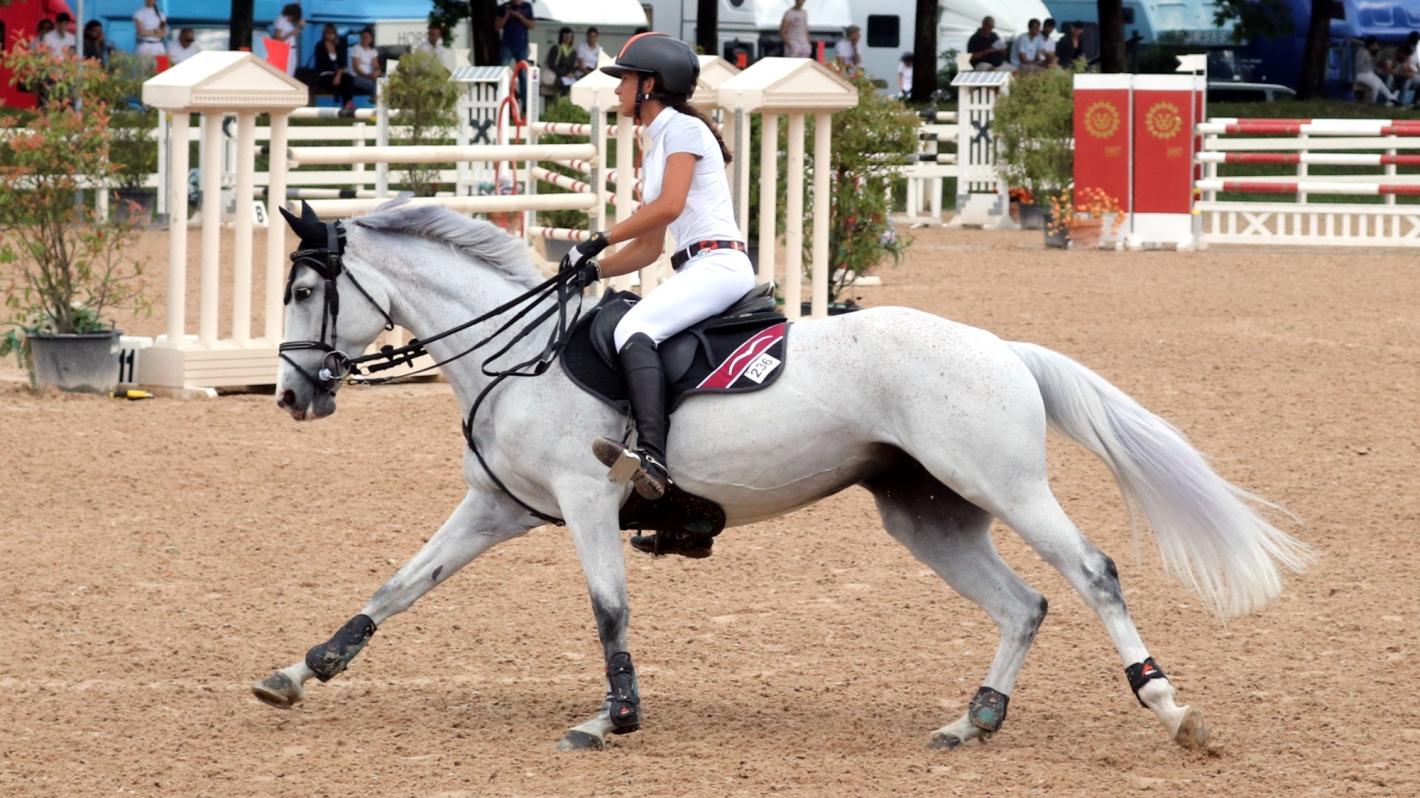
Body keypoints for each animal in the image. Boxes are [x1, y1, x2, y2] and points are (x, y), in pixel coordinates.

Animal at [247, 201, 1306, 749]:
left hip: (1004, 488)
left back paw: (1167, 703)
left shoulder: (588, 501)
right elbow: (399, 587)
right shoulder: (498, 508)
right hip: (928, 516)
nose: (291, 396)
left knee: (1090, 573)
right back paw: (975, 719)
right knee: (1024, 604)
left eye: (300, 289)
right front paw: (302, 670)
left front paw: (613, 717)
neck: (520, 353)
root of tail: (1000, 347)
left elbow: (608, 609)